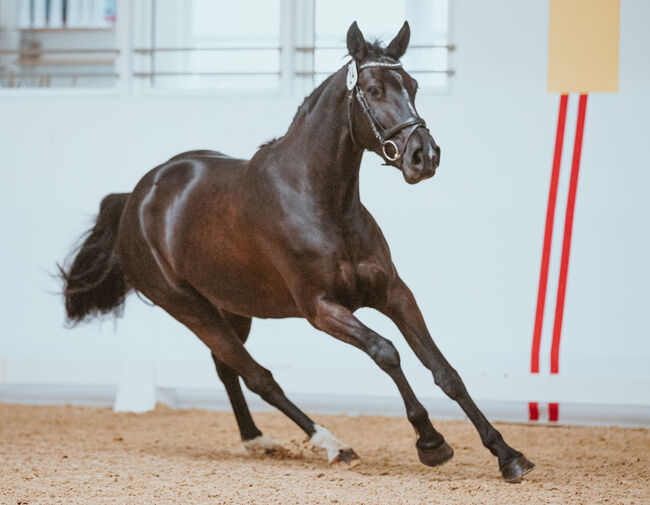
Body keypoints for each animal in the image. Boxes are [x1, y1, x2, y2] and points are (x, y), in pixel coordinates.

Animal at [60, 21, 536, 482]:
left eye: (414, 85)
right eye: (374, 90)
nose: (425, 156)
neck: (321, 202)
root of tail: (137, 197)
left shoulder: (394, 294)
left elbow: (444, 370)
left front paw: (508, 455)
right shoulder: (321, 309)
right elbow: (387, 352)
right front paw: (431, 443)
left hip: (232, 307)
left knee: (228, 368)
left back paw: (257, 440)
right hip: (189, 307)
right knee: (259, 377)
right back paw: (334, 446)